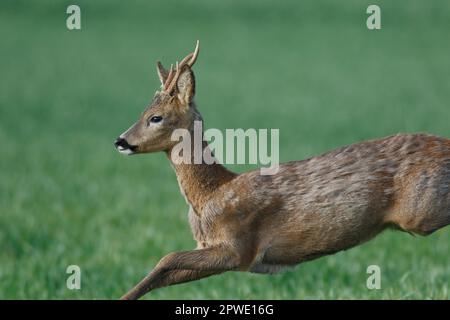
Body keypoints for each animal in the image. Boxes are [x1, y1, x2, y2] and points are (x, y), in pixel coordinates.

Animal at [115, 41, 450, 298]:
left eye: (156, 117)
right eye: (142, 112)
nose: (121, 141)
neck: (212, 194)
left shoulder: (238, 248)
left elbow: (166, 258)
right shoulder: (217, 249)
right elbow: (163, 272)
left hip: (421, 212)